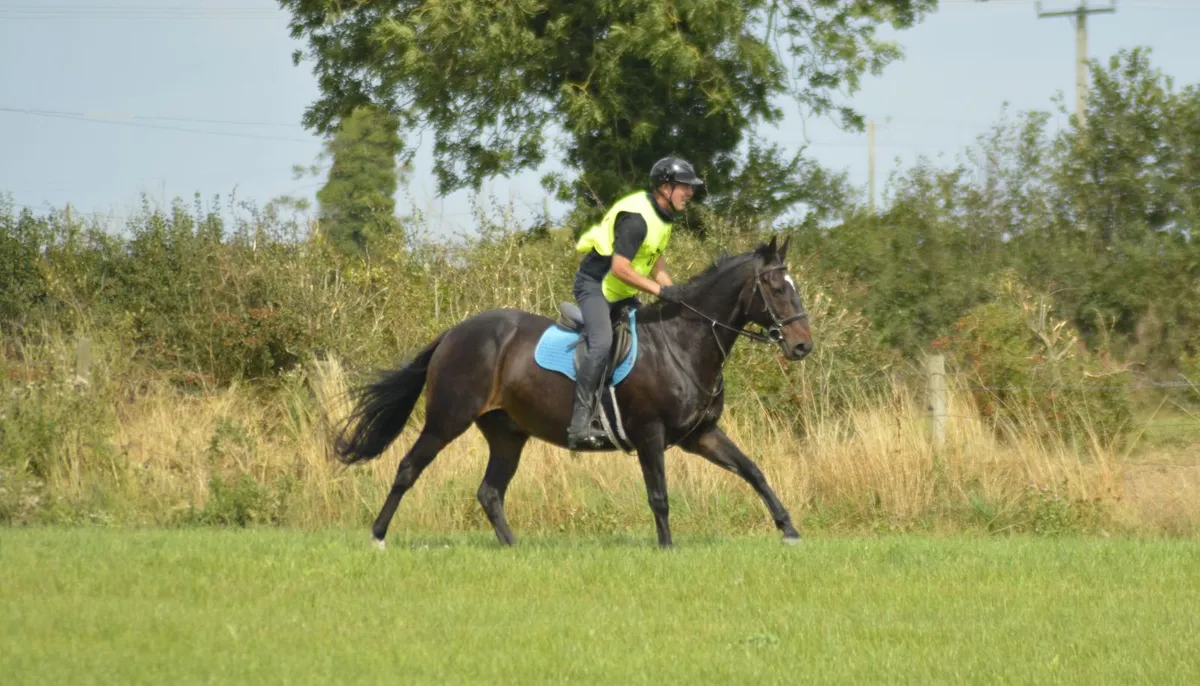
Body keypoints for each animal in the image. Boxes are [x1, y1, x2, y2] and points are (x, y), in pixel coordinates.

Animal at [334, 235, 813, 548]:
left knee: (490, 492)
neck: (681, 342)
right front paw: (667, 548)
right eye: (775, 288)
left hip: (507, 433)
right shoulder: (650, 434)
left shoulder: (700, 434)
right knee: (409, 468)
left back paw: (515, 547)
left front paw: (789, 530)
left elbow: (752, 470)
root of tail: (453, 333)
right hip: (447, 420)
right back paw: (378, 536)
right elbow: (659, 495)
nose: (802, 346)